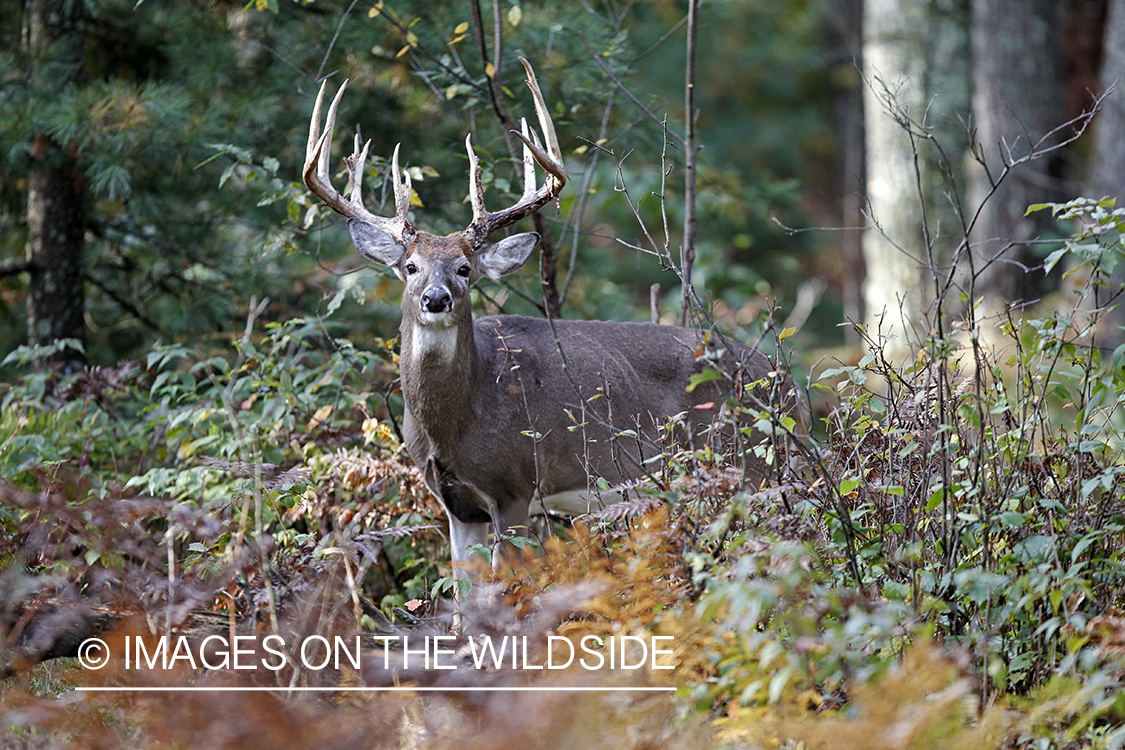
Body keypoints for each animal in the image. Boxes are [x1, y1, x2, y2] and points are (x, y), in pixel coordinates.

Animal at [303, 61, 805, 584]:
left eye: (464, 268)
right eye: (410, 266)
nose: (435, 298)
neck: (457, 420)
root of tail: (790, 385)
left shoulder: (515, 485)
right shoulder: (456, 503)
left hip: (752, 467)